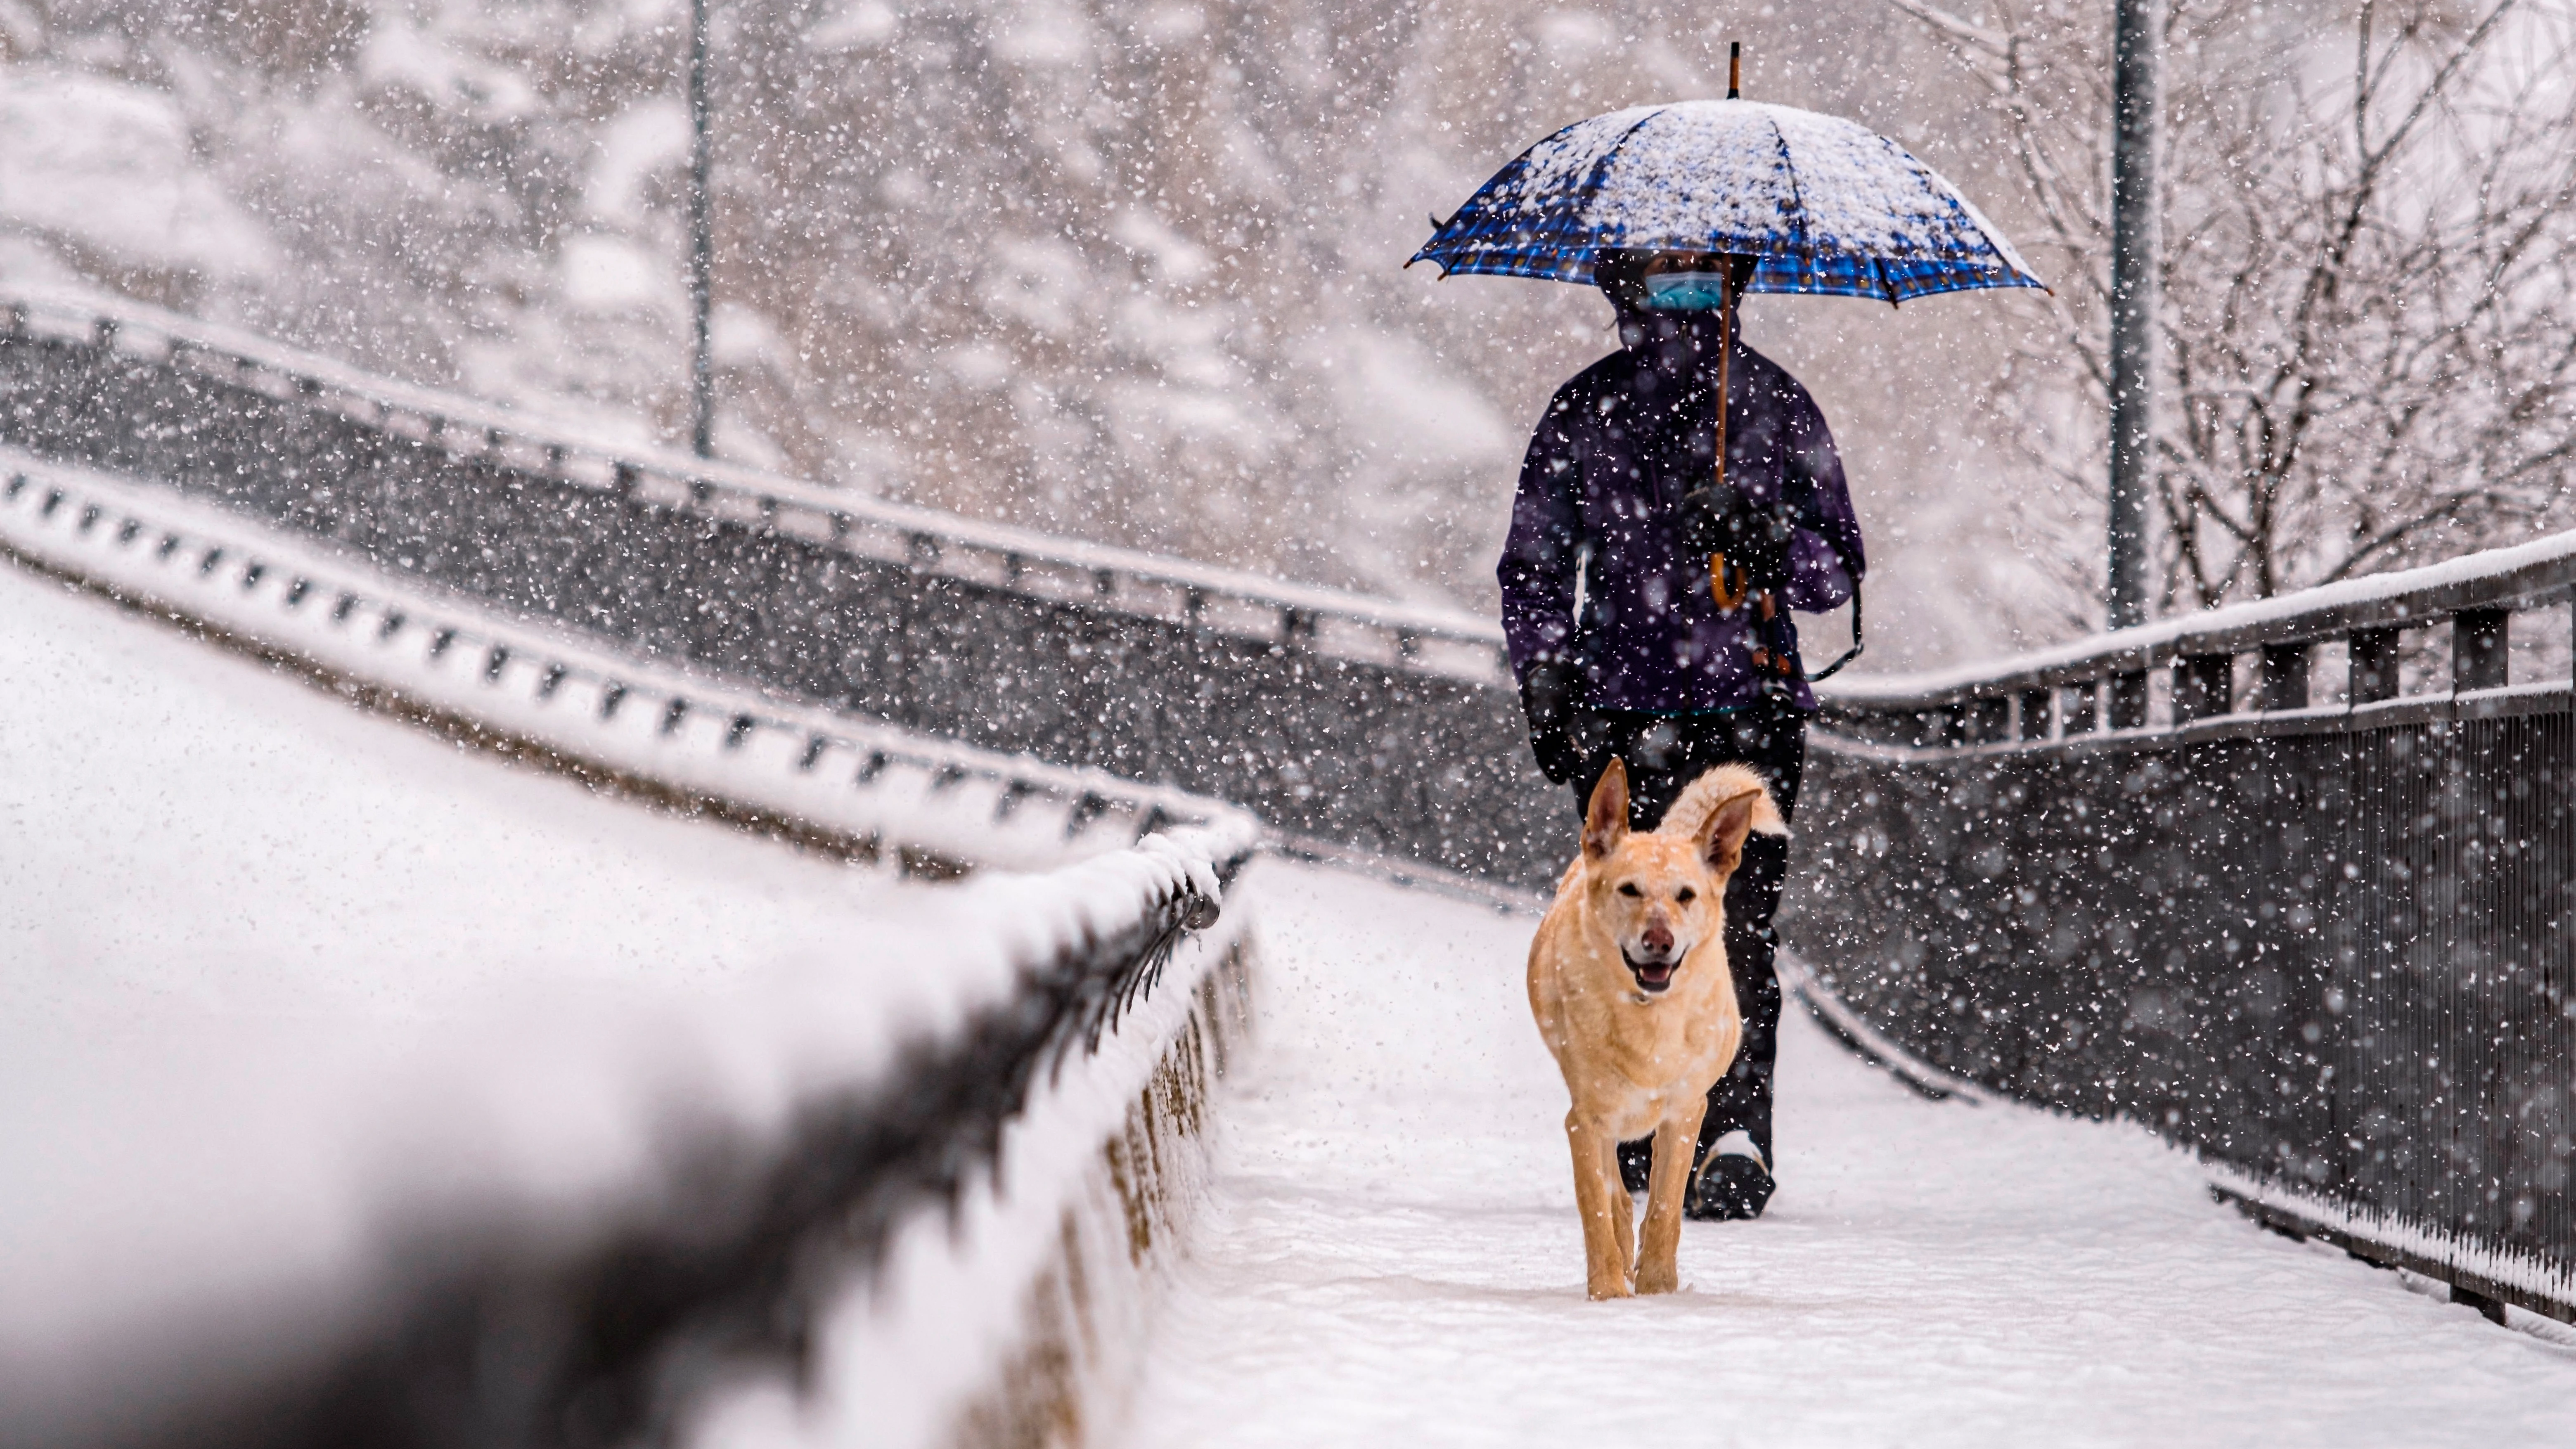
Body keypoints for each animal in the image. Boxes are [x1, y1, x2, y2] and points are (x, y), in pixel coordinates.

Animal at [1515, 758, 1783, 1299]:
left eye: (1686, 895)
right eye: (1629, 890)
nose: (1659, 941)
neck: (1648, 1016)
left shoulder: (1685, 1111)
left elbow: (1665, 1209)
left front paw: (1659, 1289)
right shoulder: (1586, 1119)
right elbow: (1598, 1207)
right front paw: (1609, 1292)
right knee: (1615, 1195)